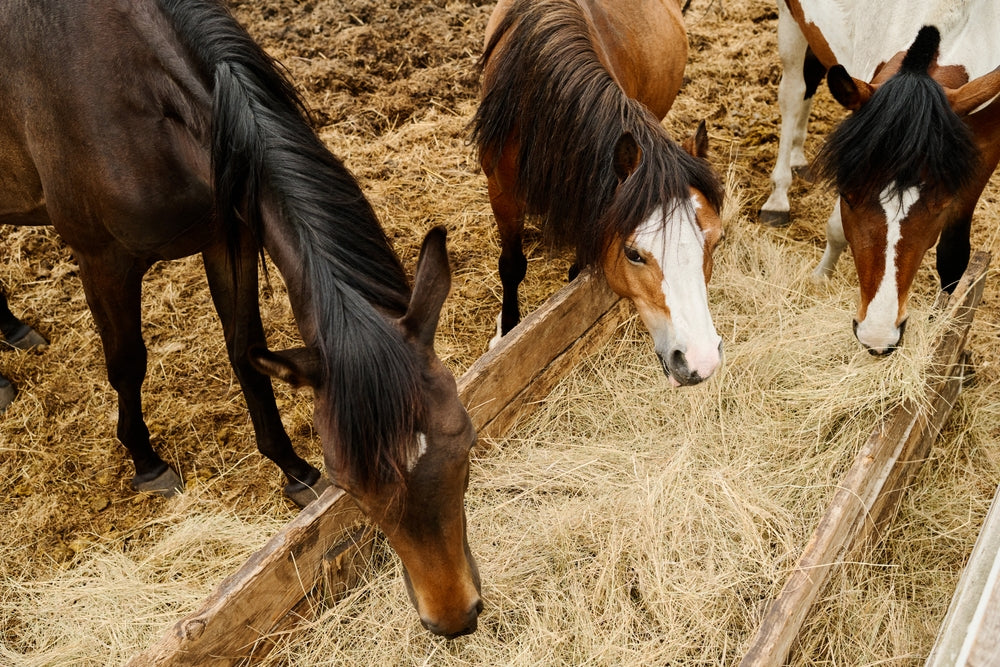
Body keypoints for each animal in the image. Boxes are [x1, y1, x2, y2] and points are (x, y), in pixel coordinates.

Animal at [0, 0, 481, 637]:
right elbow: (127, 363)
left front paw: (291, 469)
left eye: (466, 439)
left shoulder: (228, 236)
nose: (451, 618)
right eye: (350, 484)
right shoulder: (100, 258)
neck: (133, 93)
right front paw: (147, 462)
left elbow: (246, 351)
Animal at [470, 0, 726, 386]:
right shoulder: (501, 191)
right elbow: (512, 265)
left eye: (717, 240)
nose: (702, 361)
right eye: (633, 254)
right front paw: (507, 330)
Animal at [760, 0, 1000, 354]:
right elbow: (837, 228)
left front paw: (943, 335)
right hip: (790, 18)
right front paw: (821, 275)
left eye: (943, 205)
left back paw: (799, 157)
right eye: (847, 194)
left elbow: (954, 258)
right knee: (792, 91)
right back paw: (778, 197)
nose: (877, 335)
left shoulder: (985, 146)